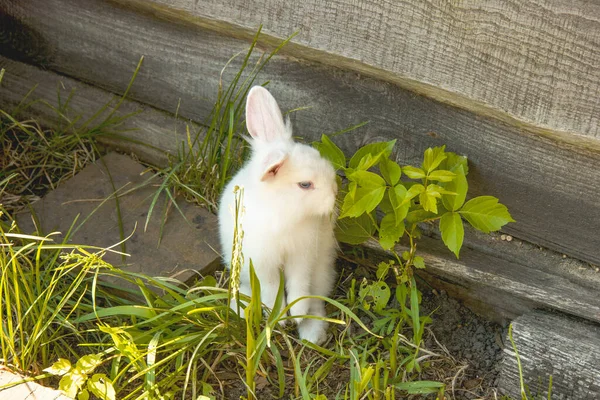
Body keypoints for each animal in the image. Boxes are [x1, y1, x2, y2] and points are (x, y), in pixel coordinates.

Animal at [218, 86, 338, 346]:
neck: (284, 212)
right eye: (305, 184)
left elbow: (299, 285)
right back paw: (240, 308)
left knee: (317, 299)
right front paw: (279, 318)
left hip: (322, 271)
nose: (335, 192)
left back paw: (311, 332)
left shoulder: (302, 257)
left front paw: (296, 313)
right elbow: (272, 288)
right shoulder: (262, 263)